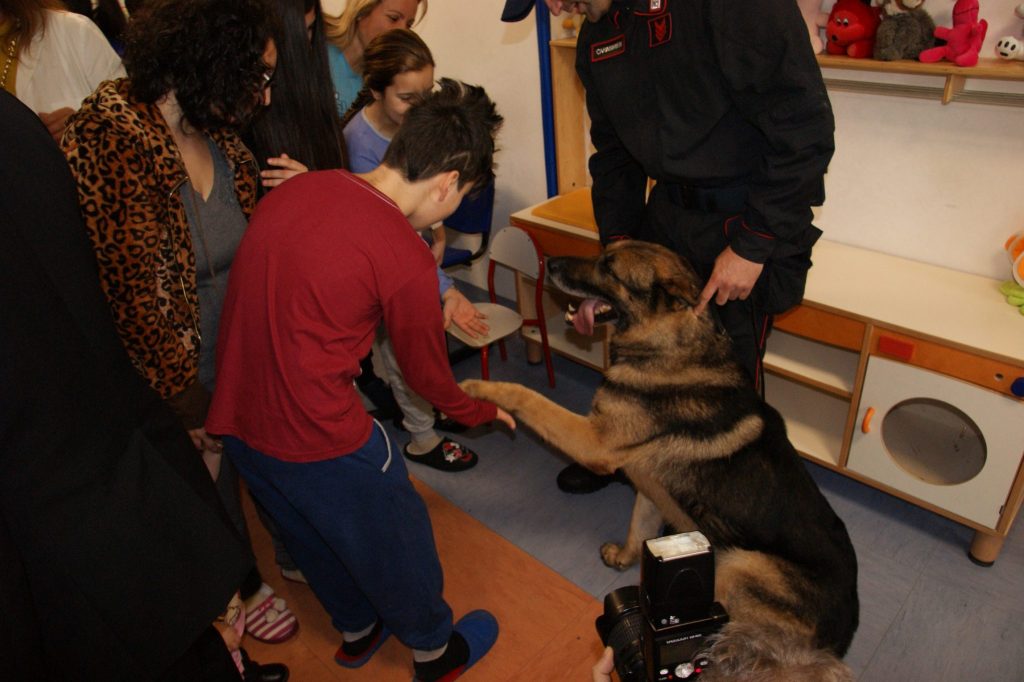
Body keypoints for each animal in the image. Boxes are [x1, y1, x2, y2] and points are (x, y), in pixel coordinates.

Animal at [462, 240, 856, 679]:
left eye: (609, 268)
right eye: (602, 251)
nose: (550, 263)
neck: (668, 349)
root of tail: (840, 637)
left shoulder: (593, 441)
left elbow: (528, 397)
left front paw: (482, 389)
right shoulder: (648, 487)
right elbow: (639, 527)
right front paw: (627, 560)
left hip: (739, 565)